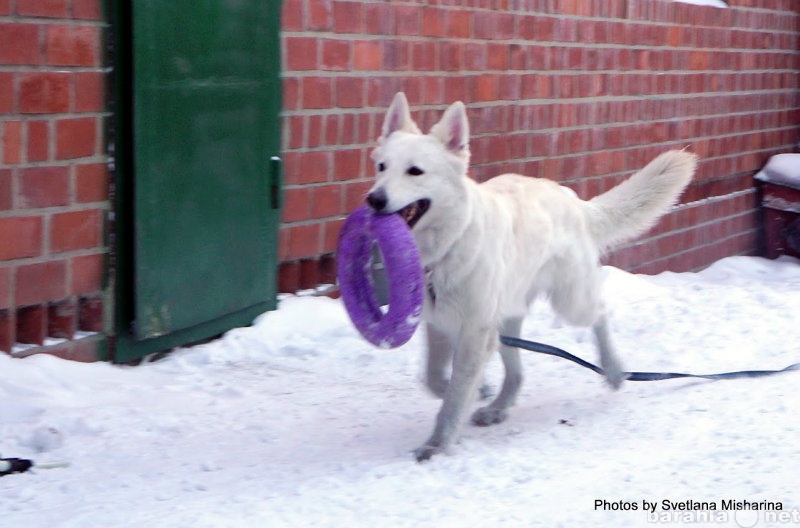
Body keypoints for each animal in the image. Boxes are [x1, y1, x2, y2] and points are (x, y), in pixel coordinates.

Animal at [364, 93, 692, 460]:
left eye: (415, 171)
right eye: (381, 167)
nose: (374, 199)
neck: (448, 246)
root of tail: (574, 201)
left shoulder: (475, 333)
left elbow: (453, 398)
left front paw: (438, 444)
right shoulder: (440, 326)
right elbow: (434, 379)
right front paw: (477, 391)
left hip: (570, 303)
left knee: (600, 314)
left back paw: (613, 369)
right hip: (507, 320)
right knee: (517, 374)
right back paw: (497, 407)